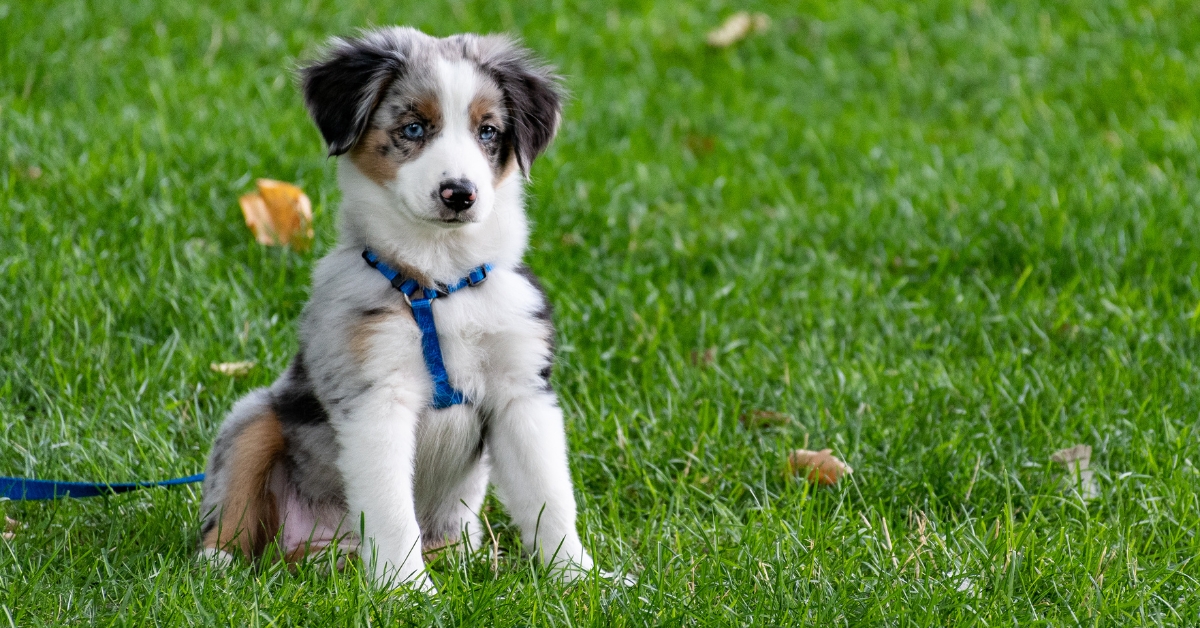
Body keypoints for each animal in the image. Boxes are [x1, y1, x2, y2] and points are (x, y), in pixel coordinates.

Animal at [199, 25, 609, 595]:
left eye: (488, 131)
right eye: (413, 127)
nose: (459, 193)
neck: (440, 282)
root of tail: (320, 550)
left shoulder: (522, 393)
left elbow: (549, 498)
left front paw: (582, 579)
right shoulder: (376, 398)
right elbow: (393, 510)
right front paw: (407, 592)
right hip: (254, 417)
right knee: (232, 505)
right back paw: (220, 566)